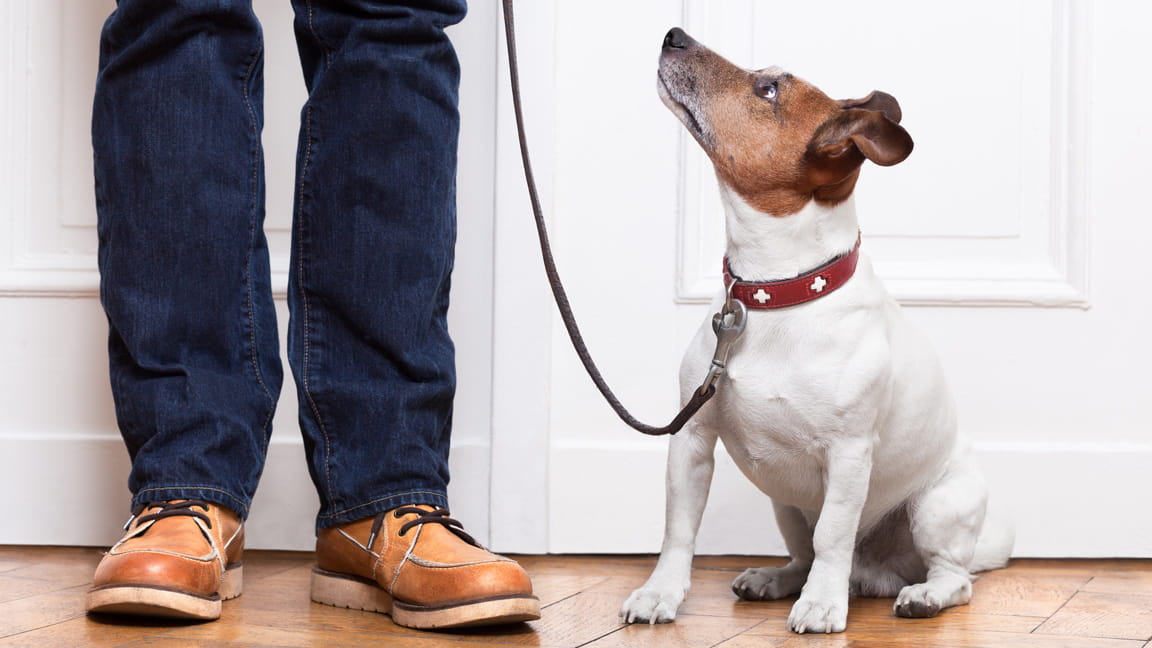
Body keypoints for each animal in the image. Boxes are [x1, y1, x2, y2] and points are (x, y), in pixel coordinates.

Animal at [617, 28, 1013, 631]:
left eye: (768, 90)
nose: (674, 35)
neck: (776, 293)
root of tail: (875, 573)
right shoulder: (691, 440)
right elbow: (679, 531)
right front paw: (660, 594)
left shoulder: (848, 455)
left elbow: (834, 535)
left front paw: (823, 605)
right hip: (786, 505)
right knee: (802, 554)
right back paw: (777, 579)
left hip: (936, 508)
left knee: (953, 576)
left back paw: (916, 594)